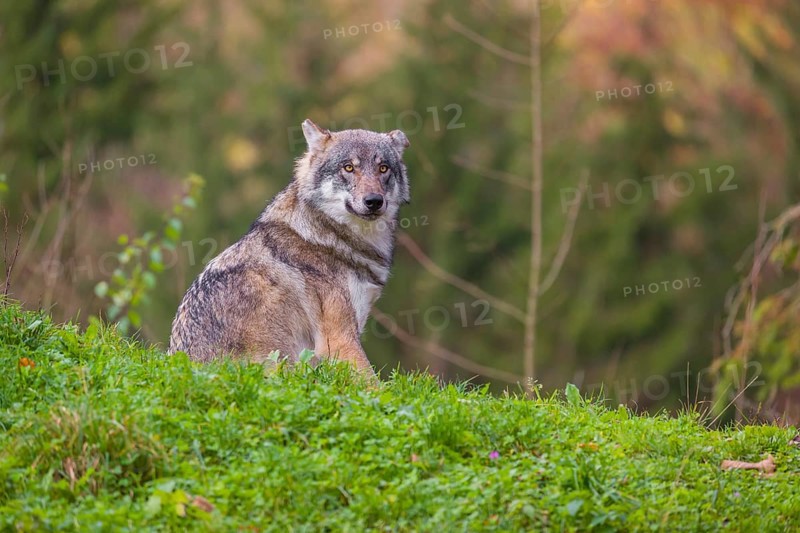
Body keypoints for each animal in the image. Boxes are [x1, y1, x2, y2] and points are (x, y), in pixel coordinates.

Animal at [168, 119, 410, 374]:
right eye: (348, 168)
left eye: (383, 168)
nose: (374, 201)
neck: (329, 234)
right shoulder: (339, 339)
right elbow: (374, 382)